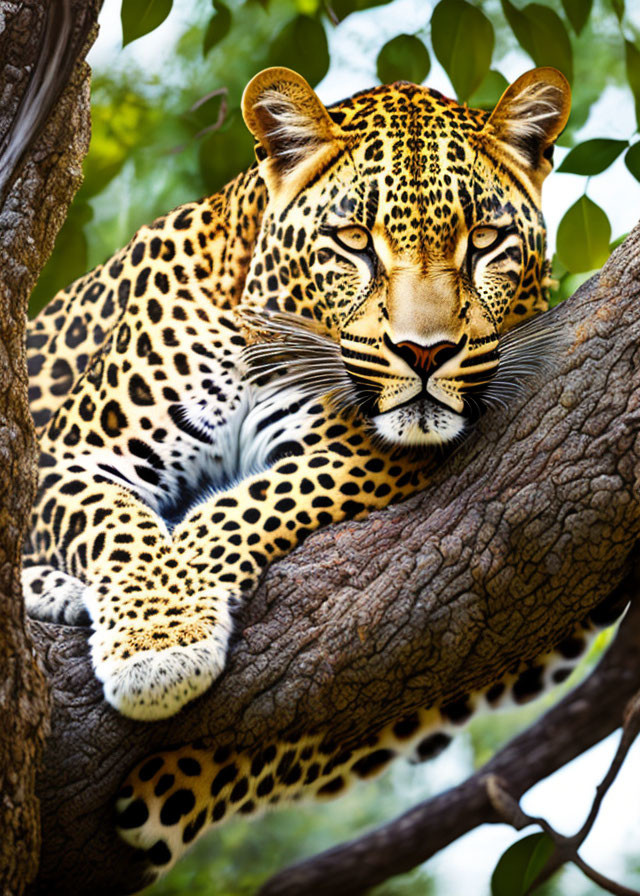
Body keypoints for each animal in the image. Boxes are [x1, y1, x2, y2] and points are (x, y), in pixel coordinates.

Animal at [25, 65, 620, 880]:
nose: (426, 352)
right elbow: (120, 526)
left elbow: (251, 505)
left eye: (485, 242)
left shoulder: (359, 453)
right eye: (353, 242)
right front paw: (158, 642)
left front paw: (169, 631)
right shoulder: (72, 457)